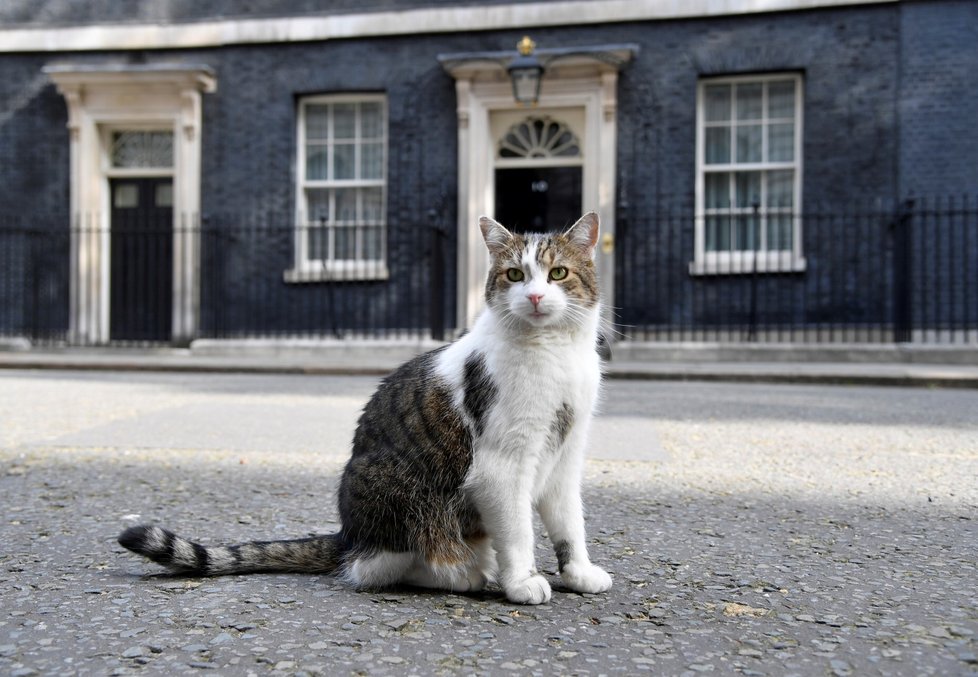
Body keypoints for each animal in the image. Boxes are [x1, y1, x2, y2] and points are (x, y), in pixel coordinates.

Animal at [120, 210, 608, 604]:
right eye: (513, 275)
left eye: (558, 273)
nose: (535, 297)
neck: (555, 355)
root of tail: (347, 534)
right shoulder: (502, 467)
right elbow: (519, 531)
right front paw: (522, 581)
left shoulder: (565, 457)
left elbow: (570, 524)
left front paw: (578, 573)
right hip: (406, 493)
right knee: (377, 569)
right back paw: (465, 572)